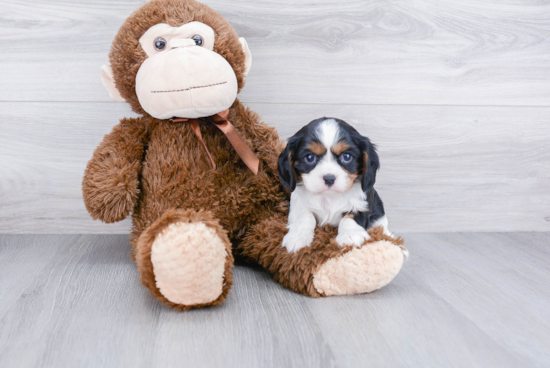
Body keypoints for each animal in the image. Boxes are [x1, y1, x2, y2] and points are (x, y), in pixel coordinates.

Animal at [280, 118, 392, 253]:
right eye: (310, 157)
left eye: (346, 157)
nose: (329, 178)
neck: (329, 197)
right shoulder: (297, 204)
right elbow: (305, 216)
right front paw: (297, 237)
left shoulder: (363, 204)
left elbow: (350, 217)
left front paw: (350, 235)